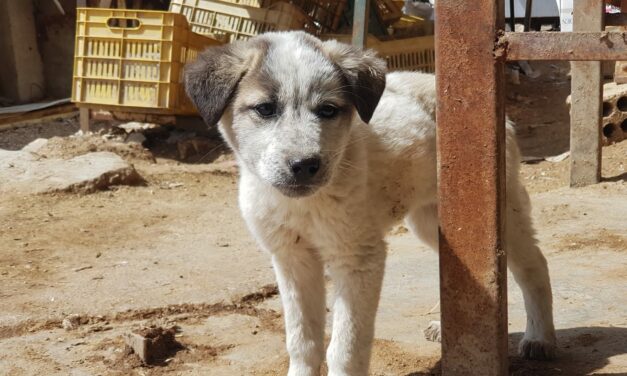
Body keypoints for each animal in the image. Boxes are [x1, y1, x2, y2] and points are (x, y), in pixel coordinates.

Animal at [184, 30, 556, 374]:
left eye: (328, 110)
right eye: (265, 109)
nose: (304, 165)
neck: (305, 205)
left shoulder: (358, 258)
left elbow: (346, 347)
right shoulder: (291, 258)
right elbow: (302, 340)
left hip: (503, 209)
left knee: (534, 265)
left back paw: (540, 337)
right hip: (433, 220)